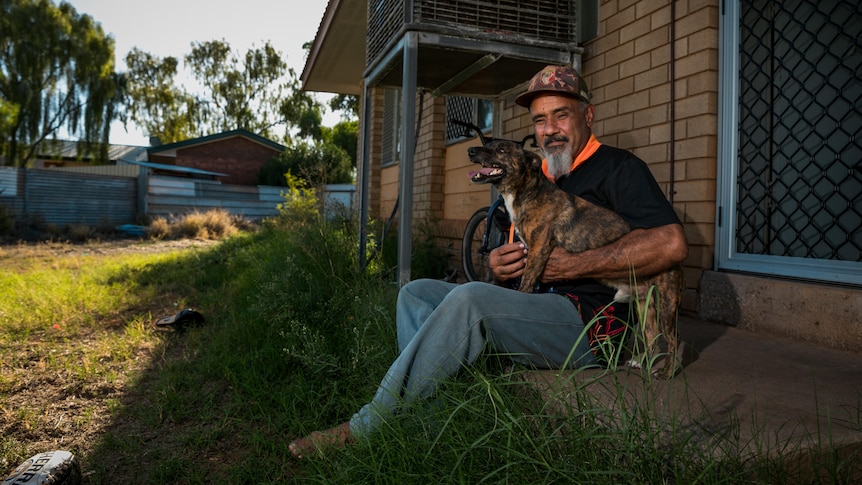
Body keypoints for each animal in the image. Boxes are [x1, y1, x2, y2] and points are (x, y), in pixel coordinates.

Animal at [470, 140, 684, 378]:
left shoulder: (538, 249)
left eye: (502, 150)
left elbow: (526, 281)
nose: (470, 151)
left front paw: (521, 296)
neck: (526, 192)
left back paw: (667, 372)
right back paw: (642, 361)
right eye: (487, 144)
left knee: (673, 340)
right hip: (643, 304)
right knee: (651, 336)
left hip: (666, 303)